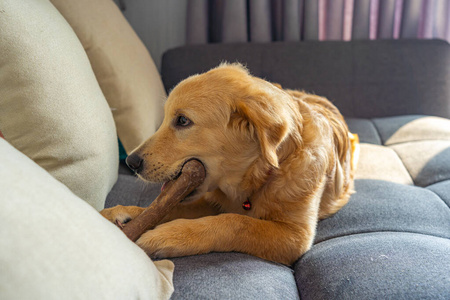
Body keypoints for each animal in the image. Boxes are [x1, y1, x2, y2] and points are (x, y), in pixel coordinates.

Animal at [101, 63, 358, 264]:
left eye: (182, 120)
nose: (131, 162)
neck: (260, 178)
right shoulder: (208, 201)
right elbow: (168, 207)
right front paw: (126, 213)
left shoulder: (295, 235)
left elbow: (235, 221)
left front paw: (168, 235)